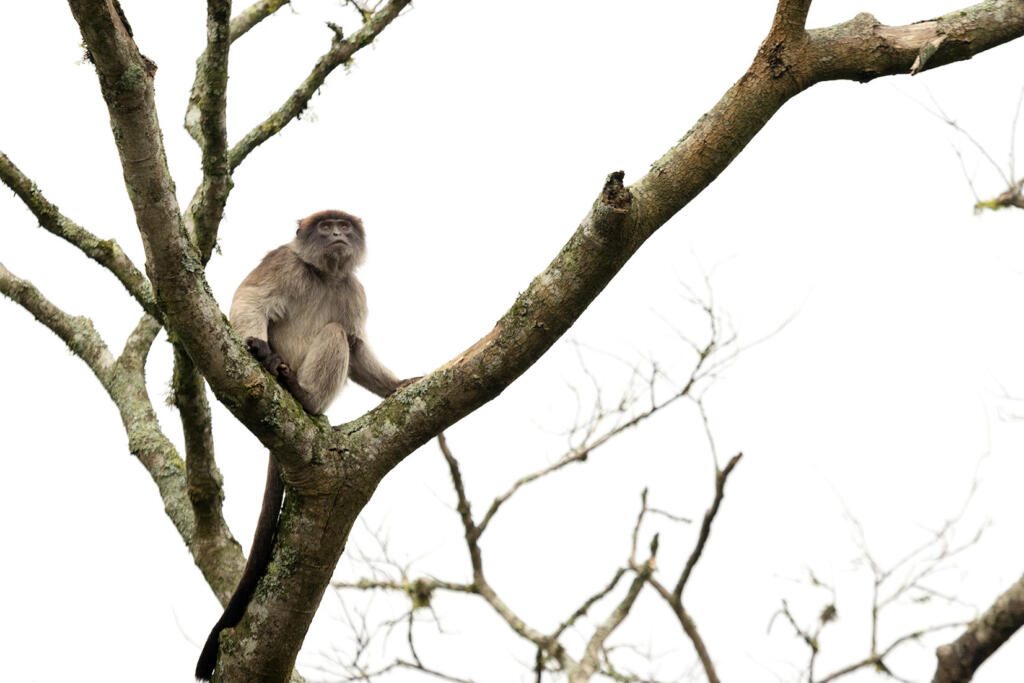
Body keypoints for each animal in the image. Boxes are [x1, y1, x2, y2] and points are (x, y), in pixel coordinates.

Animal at [196, 209, 414, 681]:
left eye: (343, 226)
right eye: (326, 225)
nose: (335, 233)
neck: (325, 275)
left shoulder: (352, 290)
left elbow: (358, 345)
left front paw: (396, 386)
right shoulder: (283, 263)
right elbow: (251, 299)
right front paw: (256, 346)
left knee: (340, 334)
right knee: (331, 333)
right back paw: (299, 390)